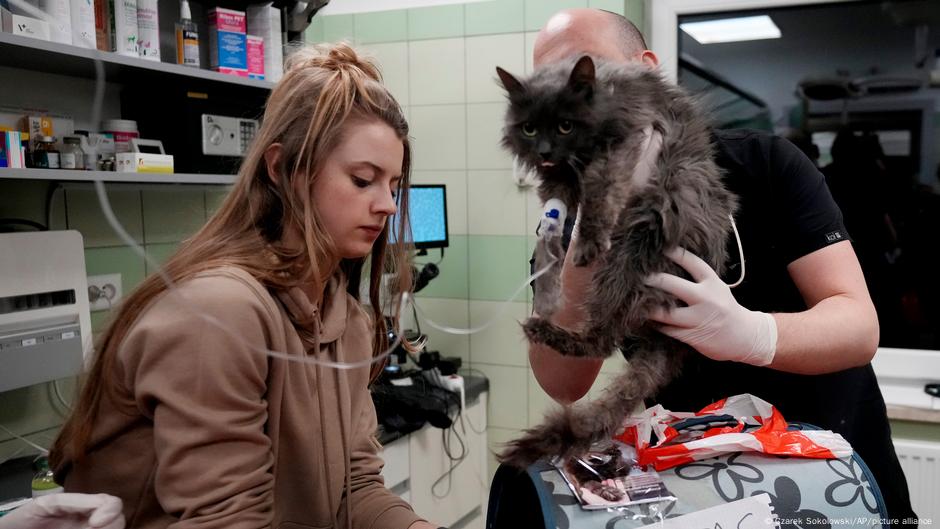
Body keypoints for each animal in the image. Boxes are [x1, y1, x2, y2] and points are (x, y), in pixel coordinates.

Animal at [496, 56, 740, 466]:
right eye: (529, 128)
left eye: (565, 125)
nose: (544, 151)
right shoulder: (559, 179)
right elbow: (553, 224)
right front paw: (551, 273)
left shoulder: (625, 143)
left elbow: (600, 193)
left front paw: (587, 242)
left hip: (634, 246)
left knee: (603, 340)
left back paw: (545, 330)